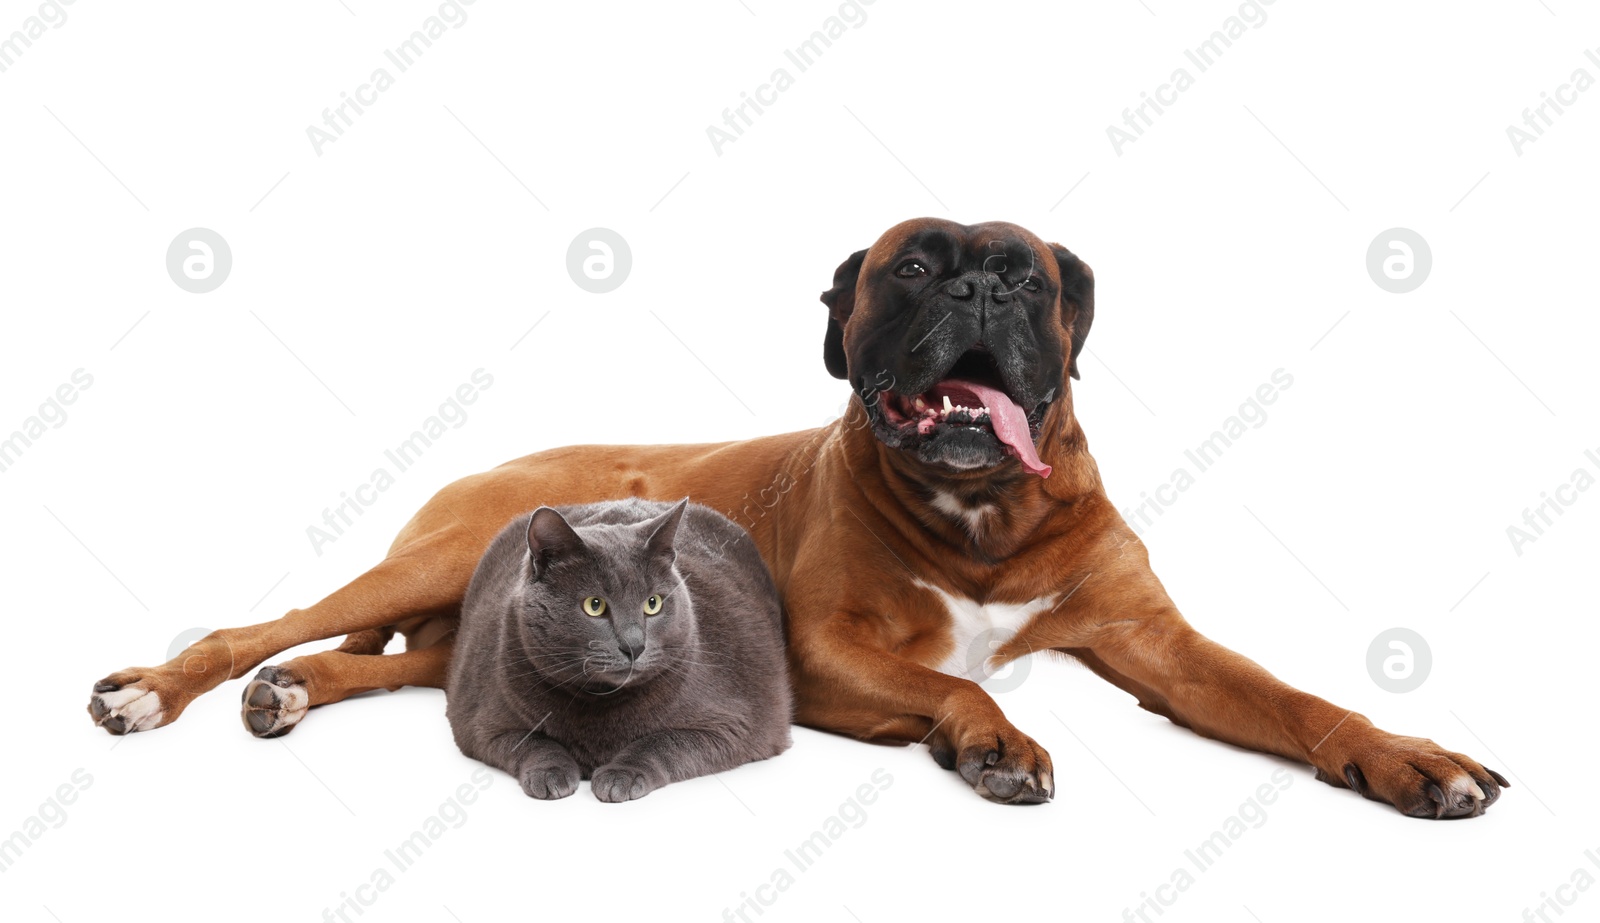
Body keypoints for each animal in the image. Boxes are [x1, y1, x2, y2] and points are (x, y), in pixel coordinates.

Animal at [444, 495, 793, 799]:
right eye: (594, 605)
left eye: (653, 603)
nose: (634, 645)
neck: (600, 702)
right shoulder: (480, 724)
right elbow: (531, 741)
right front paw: (551, 772)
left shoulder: (736, 723)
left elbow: (663, 741)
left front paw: (621, 775)